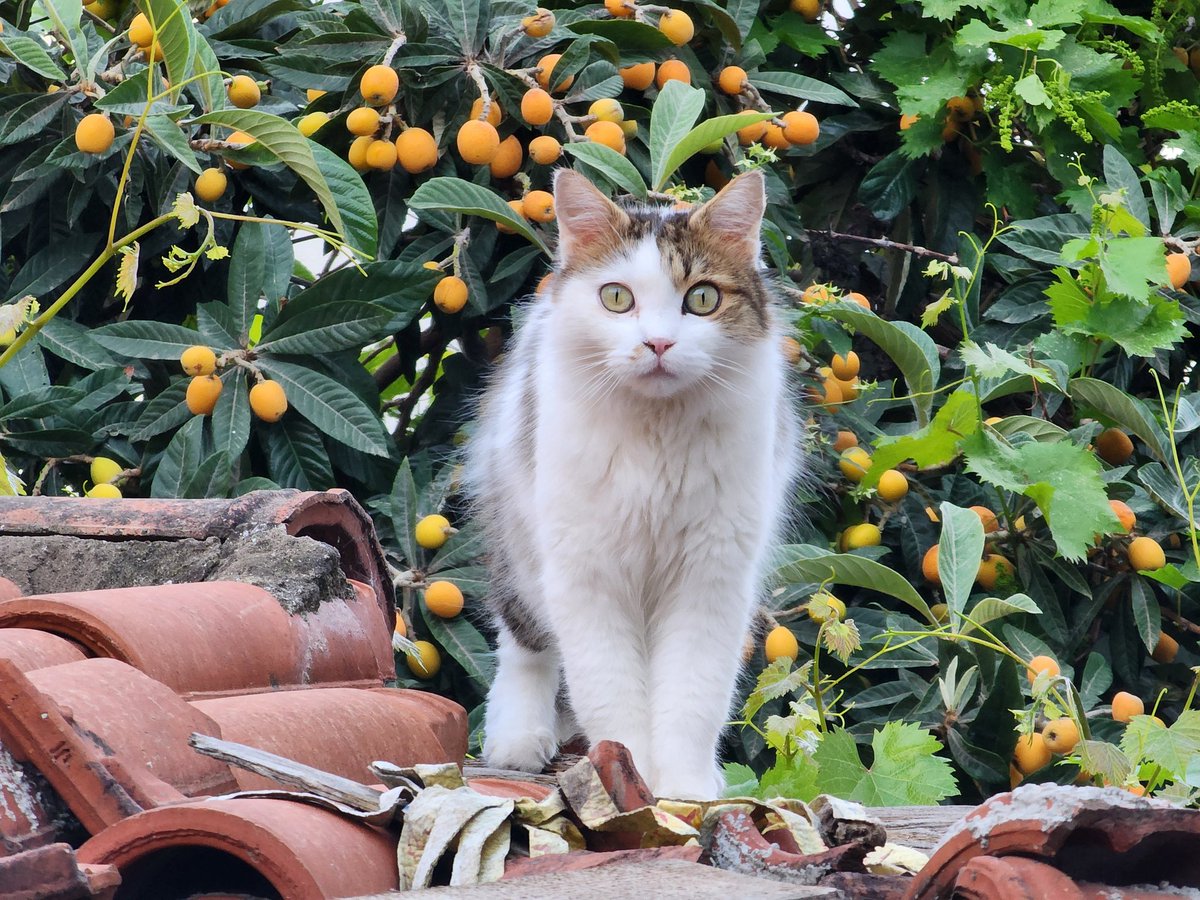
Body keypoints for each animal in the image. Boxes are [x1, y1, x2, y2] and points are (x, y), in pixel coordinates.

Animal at [463, 169, 801, 801]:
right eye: (617, 298)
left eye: (702, 299)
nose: (659, 344)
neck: (656, 437)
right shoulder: (588, 574)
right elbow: (612, 695)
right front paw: (630, 782)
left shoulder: (711, 576)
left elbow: (693, 698)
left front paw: (685, 791)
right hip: (521, 549)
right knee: (525, 645)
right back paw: (518, 739)